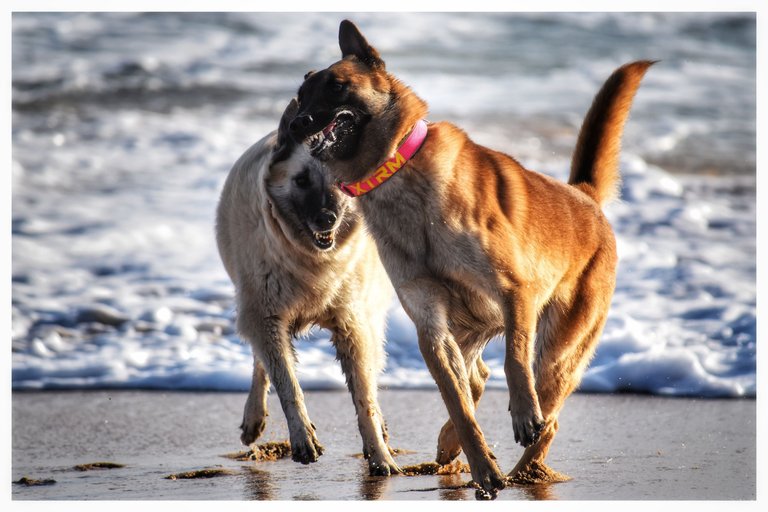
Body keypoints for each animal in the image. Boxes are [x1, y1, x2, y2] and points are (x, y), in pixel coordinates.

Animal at [292, 21, 652, 500]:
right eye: (300, 94)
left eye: (336, 86)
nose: (297, 123)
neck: (398, 170)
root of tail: (585, 197)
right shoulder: (433, 328)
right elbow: (459, 404)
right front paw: (481, 466)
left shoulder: (515, 293)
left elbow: (514, 361)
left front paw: (521, 416)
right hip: (469, 330)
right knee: (475, 380)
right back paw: (457, 448)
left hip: (559, 351)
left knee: (548, 415)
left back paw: (525, 467)